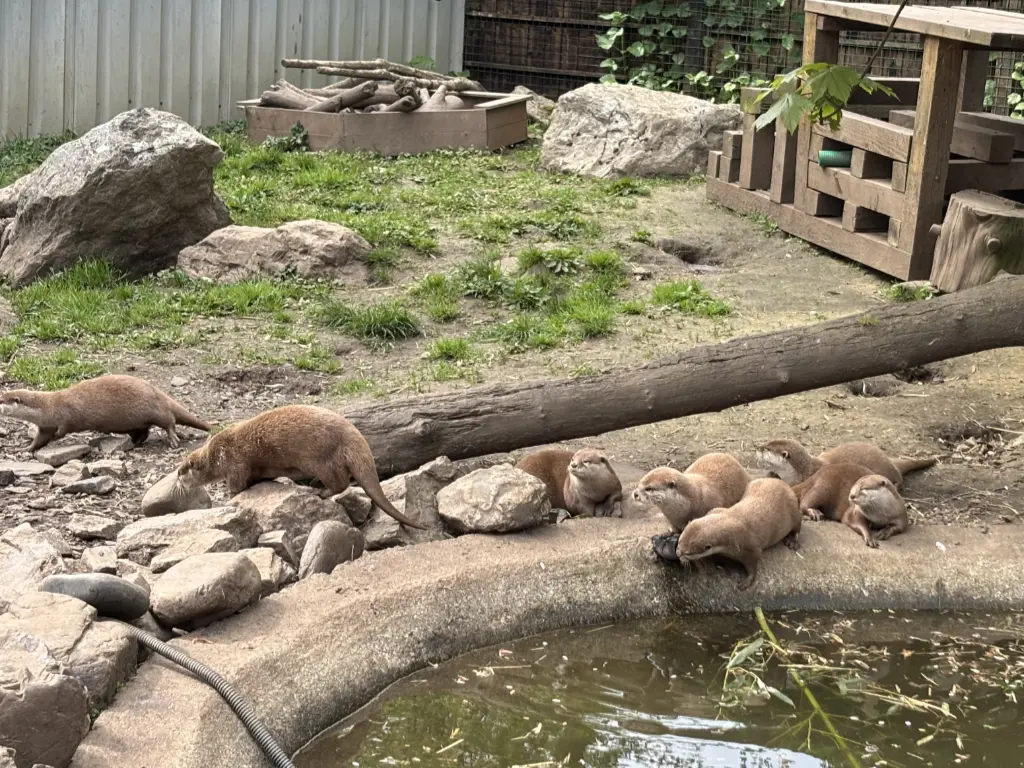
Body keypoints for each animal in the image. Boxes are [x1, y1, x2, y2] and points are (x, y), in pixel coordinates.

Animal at [0, 374, 211, 451]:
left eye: (1, 399)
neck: (48, 408)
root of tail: (156, 391)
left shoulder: (66, 413)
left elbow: (65, 428)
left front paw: (57, 437)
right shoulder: (45, 425)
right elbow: (40, 439)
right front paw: (26, 448)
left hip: (154, 409)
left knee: (169, 420)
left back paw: (173, 438)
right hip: (134, 422)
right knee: (144, 432)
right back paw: (134, 443)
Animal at [176, 404, 426, 530]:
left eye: (180, 471)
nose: (177, 479)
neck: (215, 454)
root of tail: (354, 436)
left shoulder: (234, 464)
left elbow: (238, 485)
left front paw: (230, 497)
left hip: (321, 458)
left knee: (340, 483)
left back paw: (319, 490)